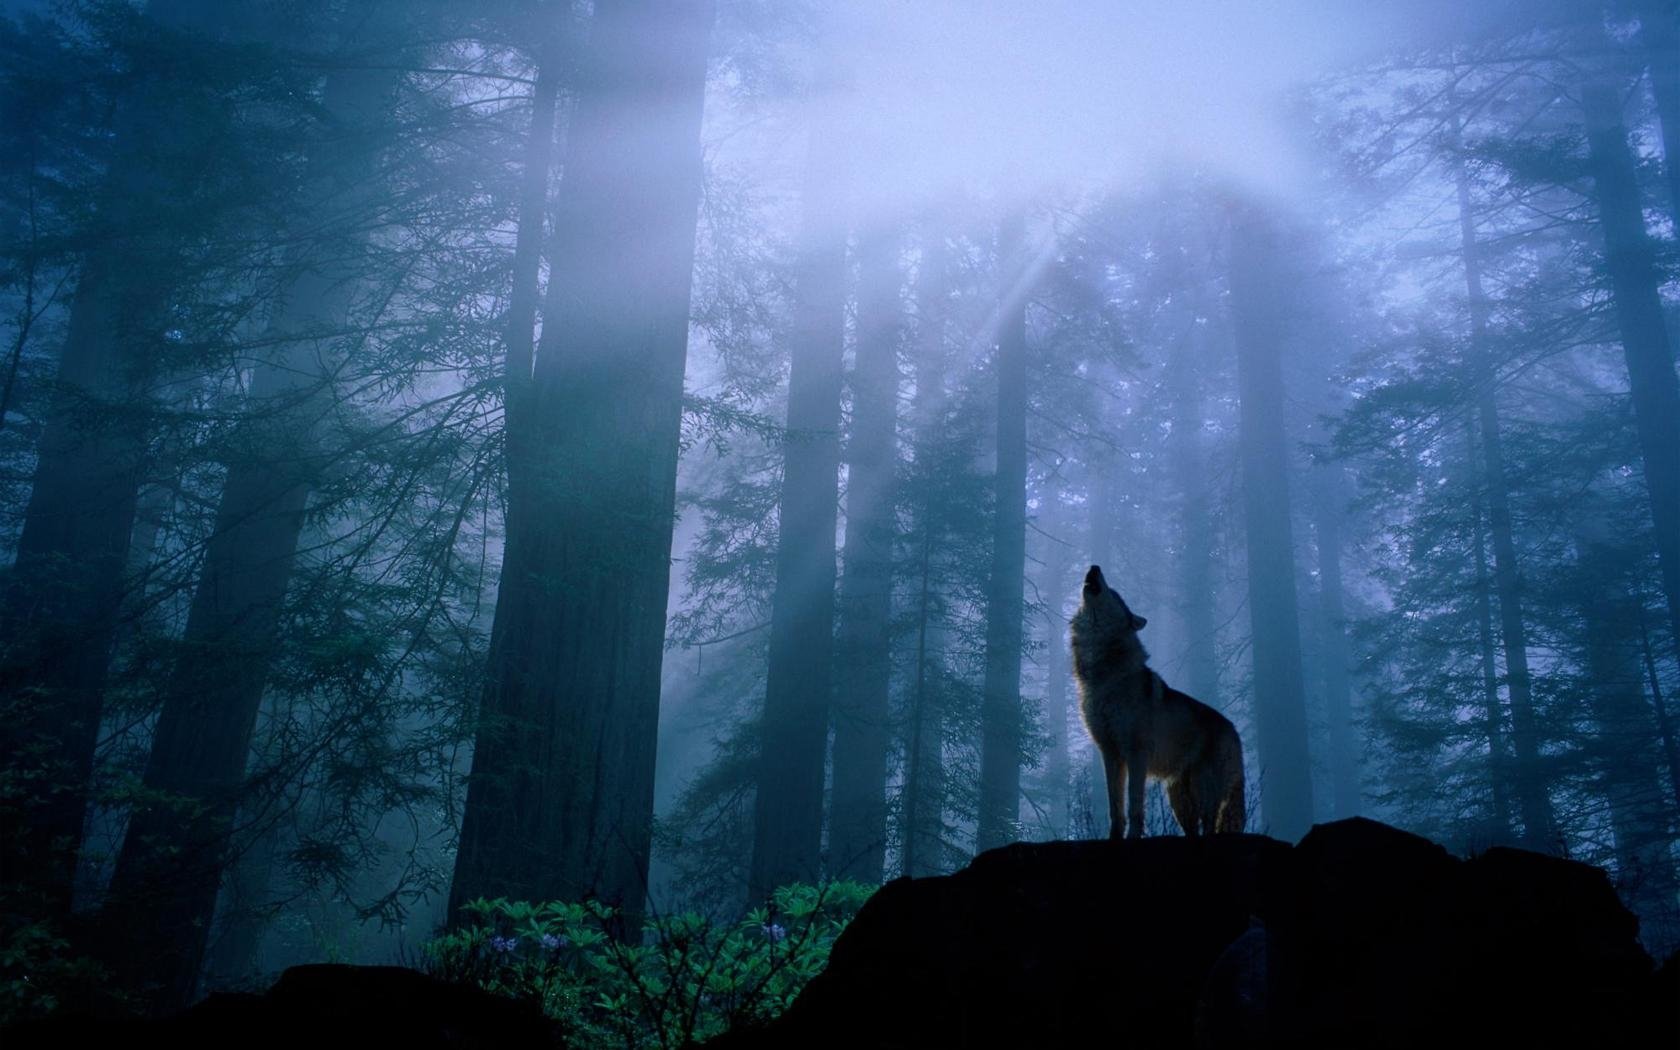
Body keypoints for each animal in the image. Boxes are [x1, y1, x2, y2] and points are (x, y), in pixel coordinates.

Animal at [1071, 565, 1246, 839]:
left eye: (1114, 593)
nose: (1094, 567)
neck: (1104, 674)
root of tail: (1234, 730)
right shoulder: (1110, 753)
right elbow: (1115, 808)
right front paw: (1114, 838)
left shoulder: (1136, 754)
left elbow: (1134, 806)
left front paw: (1132, 837)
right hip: (1179, 801)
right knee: (1194, 831)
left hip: (1204, 793)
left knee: (1209, 826)